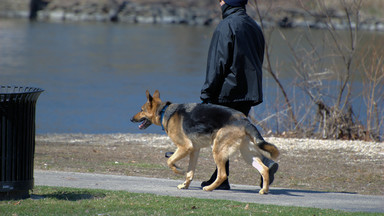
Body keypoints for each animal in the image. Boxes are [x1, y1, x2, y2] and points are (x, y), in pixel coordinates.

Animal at [132, 89, 280, 194]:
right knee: (264, 168)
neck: (163, 111)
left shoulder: (184, 147)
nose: (131, 119)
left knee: (222, 174)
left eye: (141, 110)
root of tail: (244, 120)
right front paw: (185, 184)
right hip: (247, 154)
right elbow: (190, 172)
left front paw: (179, 171)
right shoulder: (194, 150)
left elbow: (170, 161)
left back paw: (209, 188)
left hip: (218, 150)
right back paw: (264, 190)